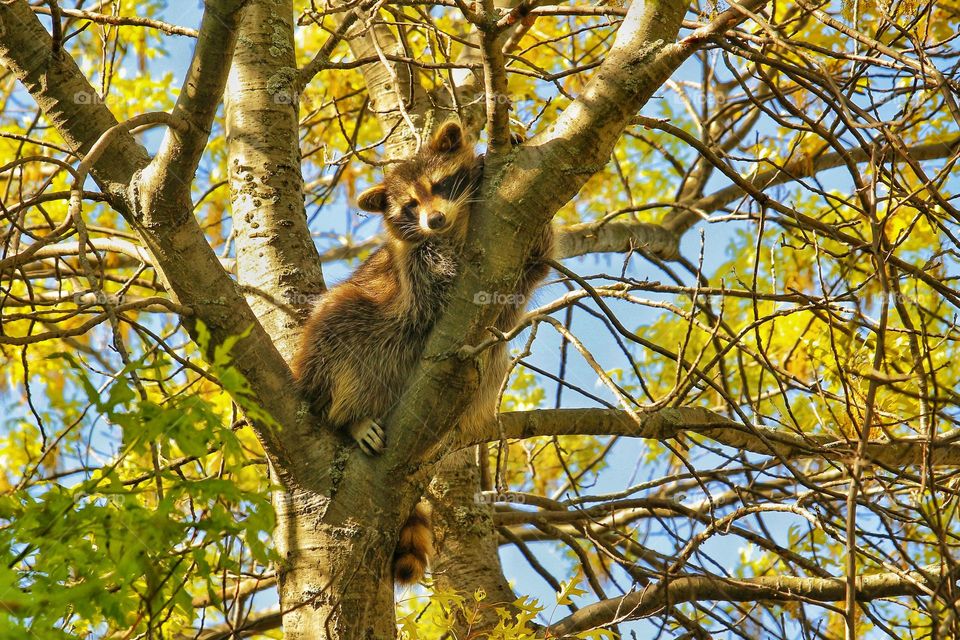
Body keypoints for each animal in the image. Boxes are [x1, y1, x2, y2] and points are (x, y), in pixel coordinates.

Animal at [291, 121, 553, 584]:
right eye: (409, 207)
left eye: (439, 185)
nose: (434, 220)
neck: (458, 226)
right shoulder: (406, 266)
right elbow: (430, 277)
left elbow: (535, 263)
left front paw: (511, 143)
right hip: (341, 339)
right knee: (338, 325)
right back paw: (348, 417)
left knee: (492, 361)